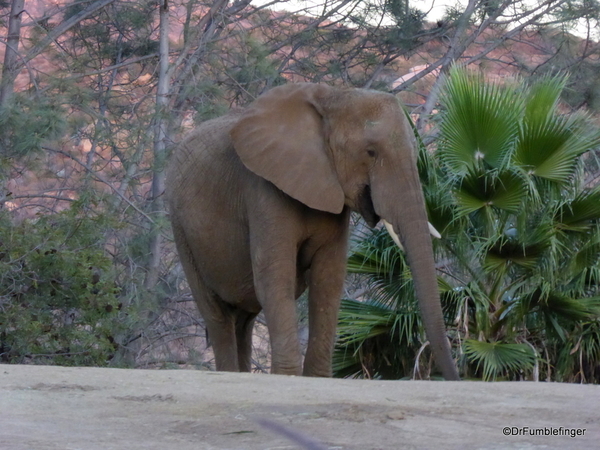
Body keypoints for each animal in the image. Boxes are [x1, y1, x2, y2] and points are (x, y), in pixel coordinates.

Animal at [166, 81, 462, 380]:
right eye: (371, 152)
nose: (454, 376)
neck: (331, 98)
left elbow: (328, 280)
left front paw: (317, 378)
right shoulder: (263, 189)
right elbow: (275, 278)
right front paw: (286, 377)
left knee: (243, 320)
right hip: (181, 230)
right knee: (218, 316)